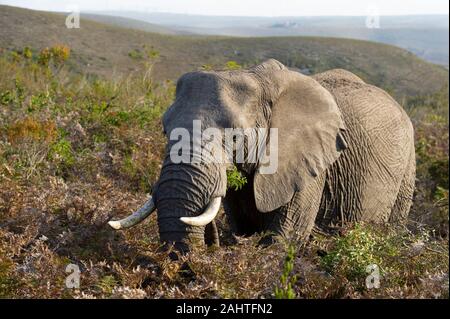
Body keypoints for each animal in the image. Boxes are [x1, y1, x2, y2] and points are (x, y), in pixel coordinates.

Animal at [107, 58, 416, 251]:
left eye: (234, 136)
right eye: (164, 129)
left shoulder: (307, 163)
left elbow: (285, 237)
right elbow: (244, 226)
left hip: (408, 167)